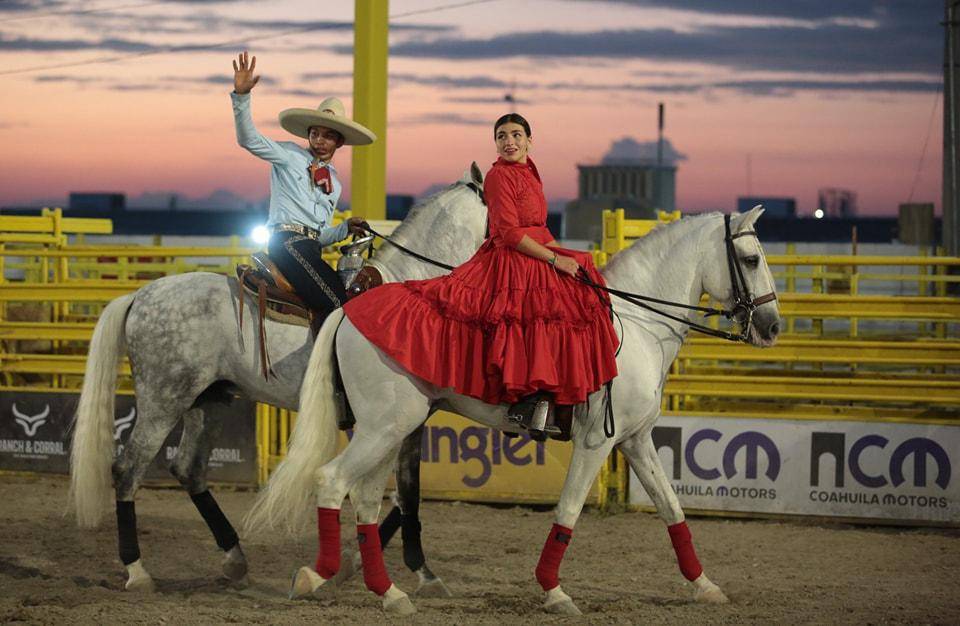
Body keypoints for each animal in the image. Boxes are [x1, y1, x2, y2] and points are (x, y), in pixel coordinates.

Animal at [69, 162, 488, 588]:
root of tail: (139, 296)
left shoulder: (411, 419)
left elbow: (407, 494)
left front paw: (400, 567)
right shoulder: (400, 418)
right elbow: (406, 496)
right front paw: (388, 566)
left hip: (208, 400)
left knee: (188, 469)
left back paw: (234, 557)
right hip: (163, 400)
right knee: (127, 470)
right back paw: (137, 570)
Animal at [246, 206, 780, 616]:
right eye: (751, 258)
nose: (772, 327)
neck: (636, 326)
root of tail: (350, 310)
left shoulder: (635, 441)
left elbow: (673, 510)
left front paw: (705, 586)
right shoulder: (597, 442)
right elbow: (568, 511)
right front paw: (555, 592)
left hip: (389, 432)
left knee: (365, 498)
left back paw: (390, 592)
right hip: (383, 429)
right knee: (332, 481)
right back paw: (316, 576)